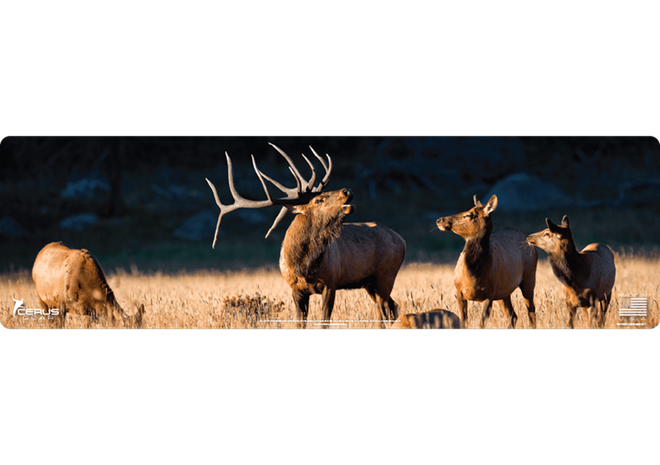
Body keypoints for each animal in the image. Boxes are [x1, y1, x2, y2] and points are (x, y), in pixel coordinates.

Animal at [205, 143, 406, 329]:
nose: (347, 190)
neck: (304, 266)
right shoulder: (296, 289)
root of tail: (402, 240)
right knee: (388, 307)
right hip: (370, 282)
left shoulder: (331, 282)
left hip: (386, 275)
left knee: (387, 309)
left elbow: (324, 321)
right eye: (318, 200)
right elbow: (299, 323)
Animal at [436, 195, 538, 329]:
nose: (439, 220)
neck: (472, 274)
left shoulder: (489, 294)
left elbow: (481, 324)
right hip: (503, 292)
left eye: (468, 215)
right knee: (513, 316)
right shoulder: (459, 291)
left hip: (529, 278)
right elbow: (464, 322)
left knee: (531, 312)